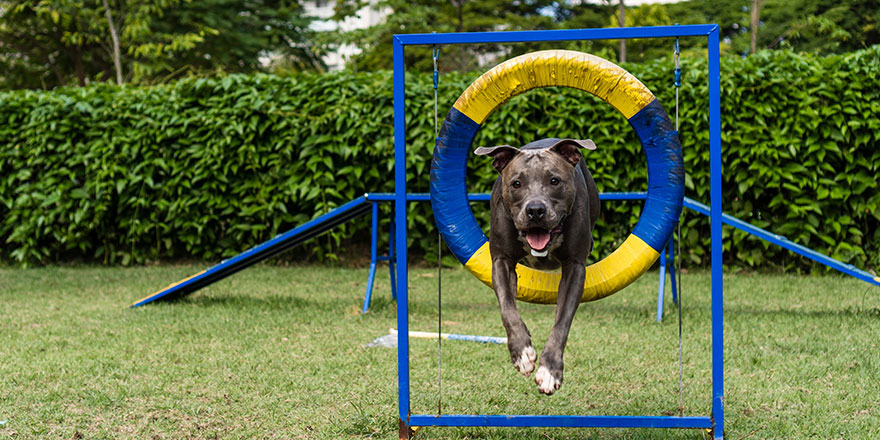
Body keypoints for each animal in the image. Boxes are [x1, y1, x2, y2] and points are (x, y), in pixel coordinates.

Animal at [474, 138, 600, 396]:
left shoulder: (574, 268)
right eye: (516, 183)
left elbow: (561, 323)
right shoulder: (501, 262)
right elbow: (508, 309)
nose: (535, 210)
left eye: (554, 181)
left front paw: (550, 371)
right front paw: (522, 353)